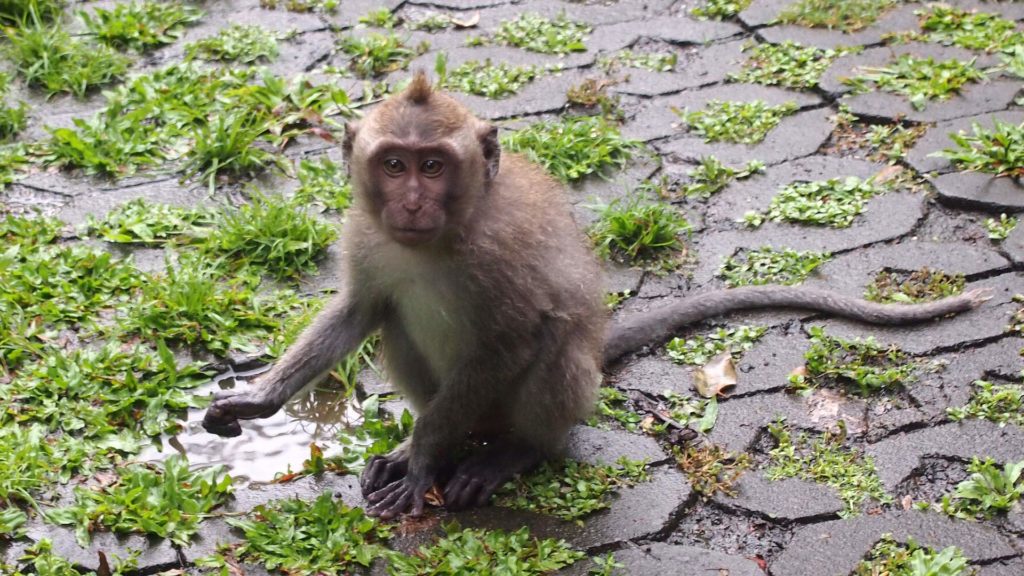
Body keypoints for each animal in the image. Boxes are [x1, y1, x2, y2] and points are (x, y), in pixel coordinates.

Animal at [201, 69, 991, 518]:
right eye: (394, 165)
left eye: (433, 165)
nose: (414, 202)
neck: (441, 238)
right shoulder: (367, 234)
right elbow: (361, 308)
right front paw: (257, 400)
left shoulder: (500, 254)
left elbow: (514, 336)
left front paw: (425, 460)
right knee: (395, 319)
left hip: (528, 401)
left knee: (551, 345)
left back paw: (505, 453)